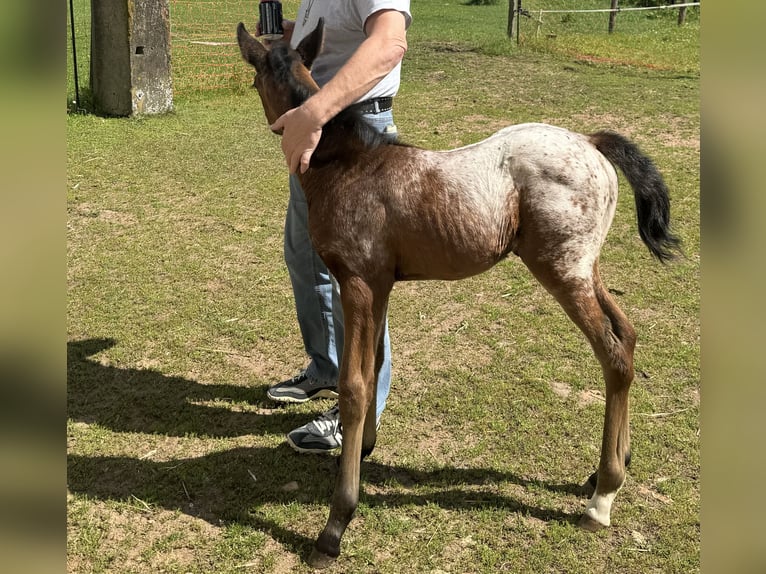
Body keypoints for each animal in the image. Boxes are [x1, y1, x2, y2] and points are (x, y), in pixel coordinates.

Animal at [238, 20, 684, 568]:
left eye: (254, 78)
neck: (347, 164)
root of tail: (590, 140)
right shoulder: (380, 286)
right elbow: (377, 365)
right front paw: (363, 450)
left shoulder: (357, 284)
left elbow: (355, 385)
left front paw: (336, 524)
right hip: (586, 267)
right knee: (628, 334)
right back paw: (608, 467)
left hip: (562, 271)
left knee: (614, 355)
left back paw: (602, 498)